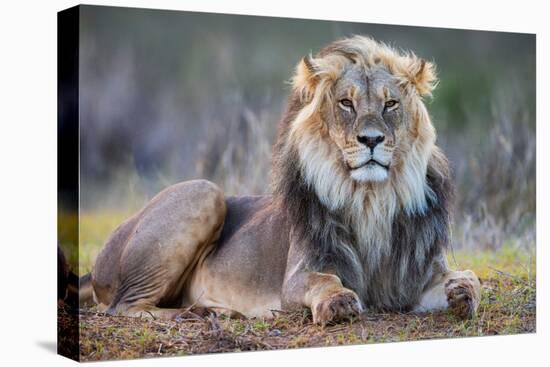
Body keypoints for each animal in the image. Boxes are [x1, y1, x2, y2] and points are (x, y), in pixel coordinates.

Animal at [82, 36, 484, 324]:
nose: (371, 139)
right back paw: (199, 312)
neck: (370, 199)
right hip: (204, 191)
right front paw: (338, 302)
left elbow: (469, 276)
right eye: (346, 103)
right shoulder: (299, 275)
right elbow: (325, 281)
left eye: (390, 104)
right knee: (123, 307)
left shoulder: (416, 276)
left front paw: (463, 292)